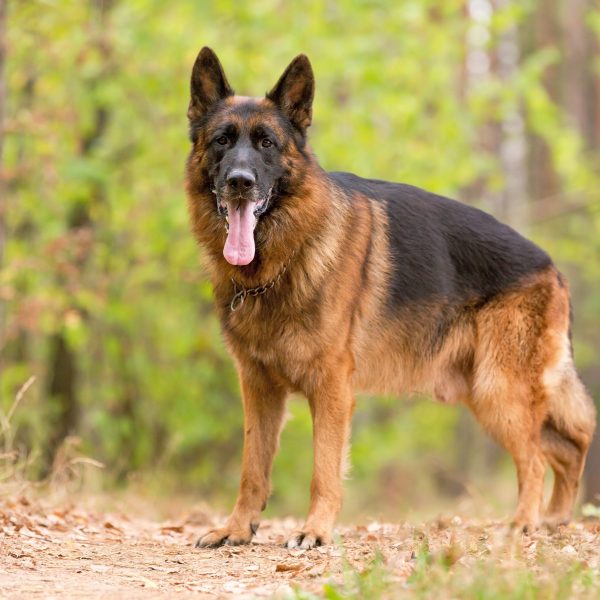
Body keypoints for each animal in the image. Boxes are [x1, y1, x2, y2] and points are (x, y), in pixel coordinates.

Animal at [186, 49, 596, 552]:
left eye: (266, 143)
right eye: (222, 141)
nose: (240, 182)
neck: (282, 261)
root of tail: (550, 265)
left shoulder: (331, 388)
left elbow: (324, 470)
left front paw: (315, 530)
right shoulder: (258, 387)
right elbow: (252, 469)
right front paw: (238, 528)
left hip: (498, 390)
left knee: (538, 456)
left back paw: (524, 523)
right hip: (486, 394)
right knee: (566, 445)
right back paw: (554, 520)